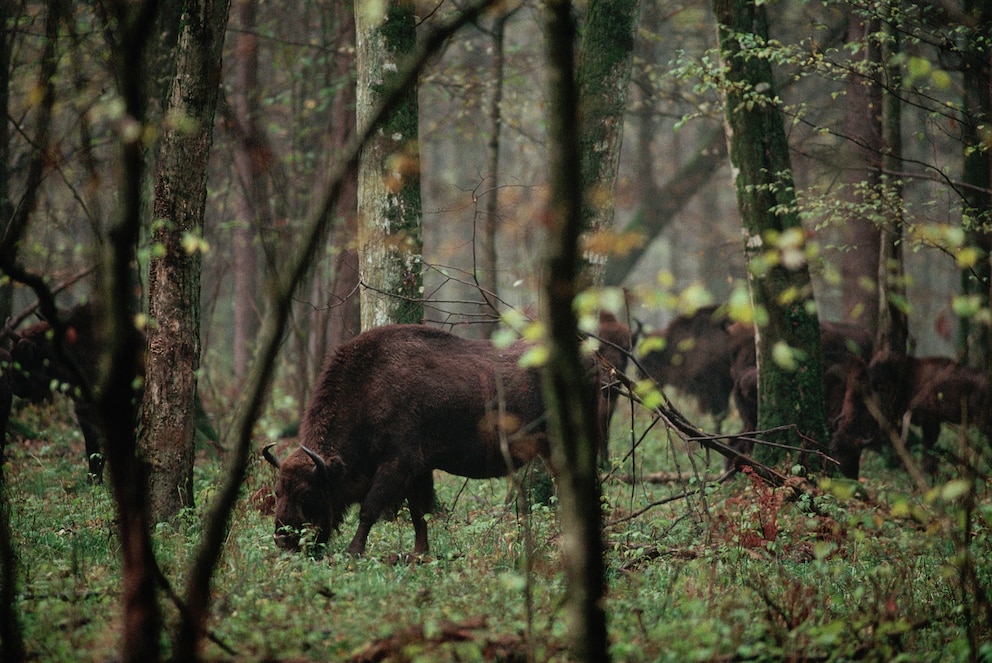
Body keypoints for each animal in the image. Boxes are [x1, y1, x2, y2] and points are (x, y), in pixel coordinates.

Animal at [264, 322, 604, 556]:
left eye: (307, 492)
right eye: (277, 491)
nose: (282, 540)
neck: (369, 389)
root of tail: (592, 359)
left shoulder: (397, 466)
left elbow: (369, 509)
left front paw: (353, 551)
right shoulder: (418, 470)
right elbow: (419, 513)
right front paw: (420, 553)